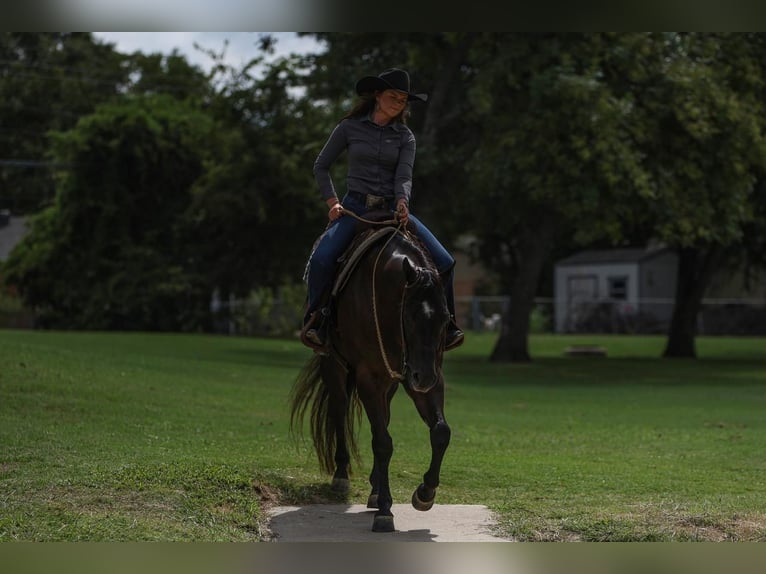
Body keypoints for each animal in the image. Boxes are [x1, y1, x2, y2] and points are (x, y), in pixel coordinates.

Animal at [292, 222, 452, 536]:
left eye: (444, 317)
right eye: (410, 316)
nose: (423, 378)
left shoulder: (427, 375)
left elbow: (440, 431)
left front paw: (424, 493)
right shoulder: (370, 377)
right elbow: (383, 442)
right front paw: (385, 512)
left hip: (392, 383)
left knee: (384, 418)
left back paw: (376, 489)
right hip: (334, 367)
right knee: (339, 411)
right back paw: (342, 476)